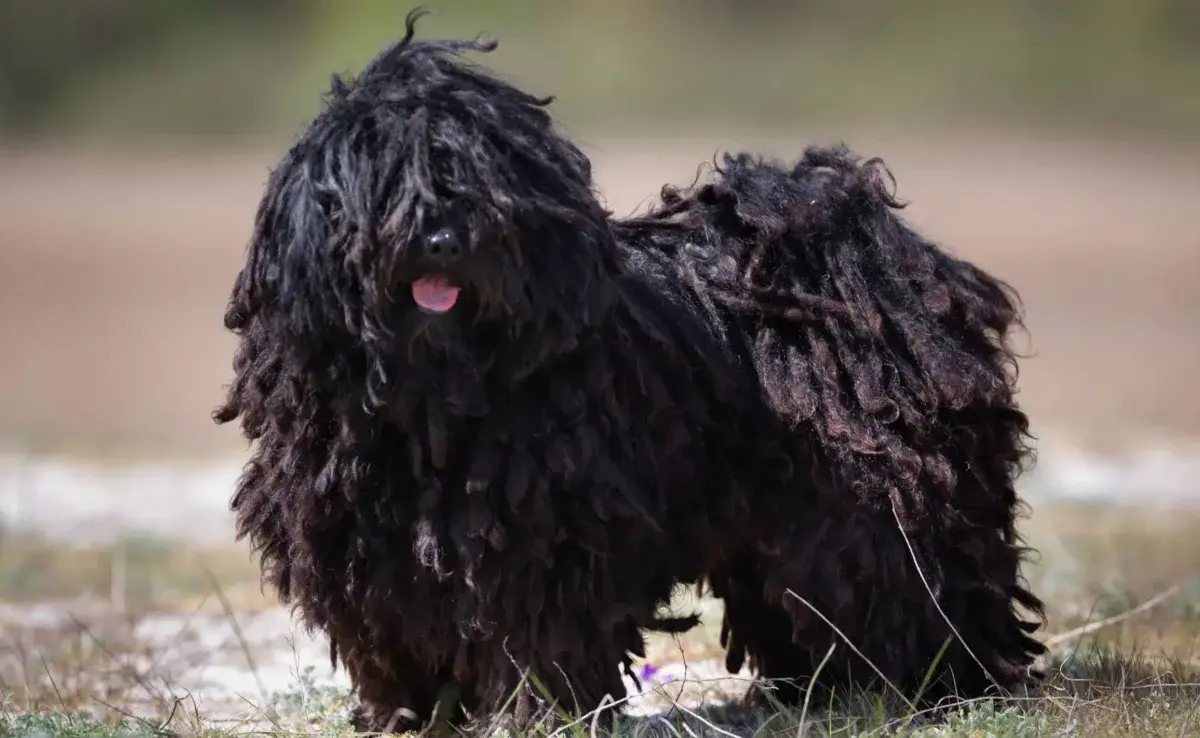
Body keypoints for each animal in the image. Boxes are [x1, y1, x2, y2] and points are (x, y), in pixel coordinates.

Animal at [216, 11, 1041, 734]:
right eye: (385, 176)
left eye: (481, 180)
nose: (443, 239)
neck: (434, 406)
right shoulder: (362, 549)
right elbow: (391, 638)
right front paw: (405, 716)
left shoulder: (547, 541)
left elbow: (536, 639)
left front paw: (535, 719)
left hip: (883, 502)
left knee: (920, 583)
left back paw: (942, 683)